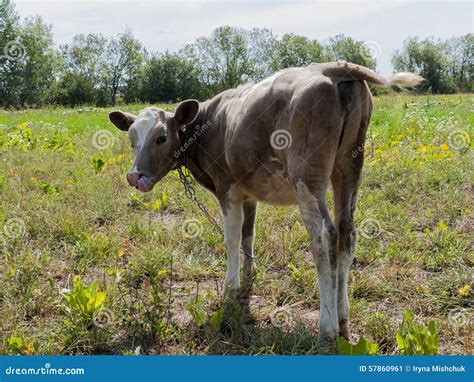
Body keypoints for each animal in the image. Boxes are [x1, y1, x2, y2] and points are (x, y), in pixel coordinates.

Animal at [108, 61, 422, 342]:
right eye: (132, 140)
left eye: (161, 137)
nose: (135, 176)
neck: (208, 124)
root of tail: (332, 67)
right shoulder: (249, 193)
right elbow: (249, 234)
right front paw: (249, 276)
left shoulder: (227, 189)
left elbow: (232, 239)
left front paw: (230, 288)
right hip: (349, 168)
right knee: (347, 233)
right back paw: (343, 321)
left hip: (307, 178)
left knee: (325, 237)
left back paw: (327, 327)